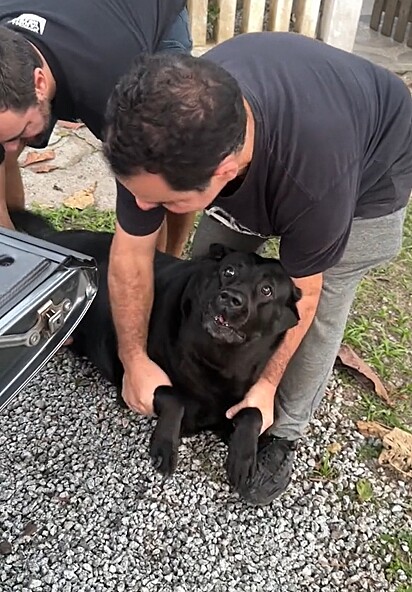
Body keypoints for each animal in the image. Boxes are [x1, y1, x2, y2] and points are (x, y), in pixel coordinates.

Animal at [11, 210, 300, 488]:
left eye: (267, 290)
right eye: (228, 272)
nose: (230, 298)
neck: (219, 358)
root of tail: (54, 237)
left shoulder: (229, 411)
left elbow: (253, 412)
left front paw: (243, 457)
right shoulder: (135, 385)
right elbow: (173, 397)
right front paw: (164, 444)